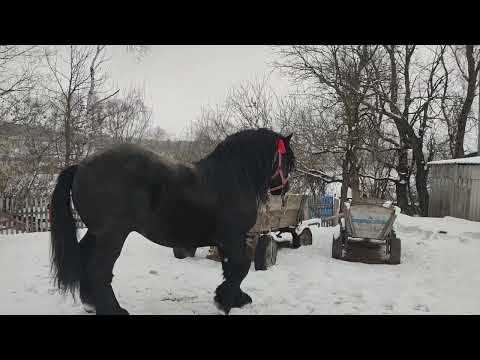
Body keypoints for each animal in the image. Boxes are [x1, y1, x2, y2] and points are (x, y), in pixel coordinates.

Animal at [50, 128, 294, 314]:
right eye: (288, 161)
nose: (286, 188)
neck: (231, 178)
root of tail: (81, 166)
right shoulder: (232, 237)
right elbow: (240, 267)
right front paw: (224, 301)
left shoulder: (227, 241)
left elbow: (231, 268)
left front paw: (236, 298)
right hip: (111, 235)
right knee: (98, 269)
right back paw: (114, 310)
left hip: (96, 233)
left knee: (84, 260)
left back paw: (91, 303)